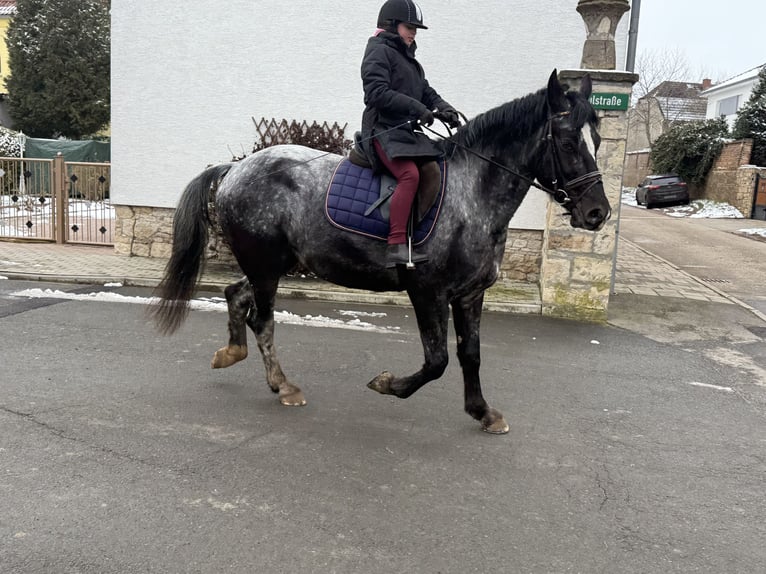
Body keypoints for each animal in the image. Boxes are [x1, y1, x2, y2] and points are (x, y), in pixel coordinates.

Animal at [153, 70, 616, 434]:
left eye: (595, 139)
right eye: (568, 142)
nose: (597, 213)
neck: (473, 193)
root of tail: (236, 168)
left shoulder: (470, 294)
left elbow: (470, 355)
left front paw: (483, 412)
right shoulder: (428, 291)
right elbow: (437, 360)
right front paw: (388, 384)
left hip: (272, 264)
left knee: (236, 295)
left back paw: (231, 354)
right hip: (267, 266)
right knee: (262, 321)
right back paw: (283, 385)